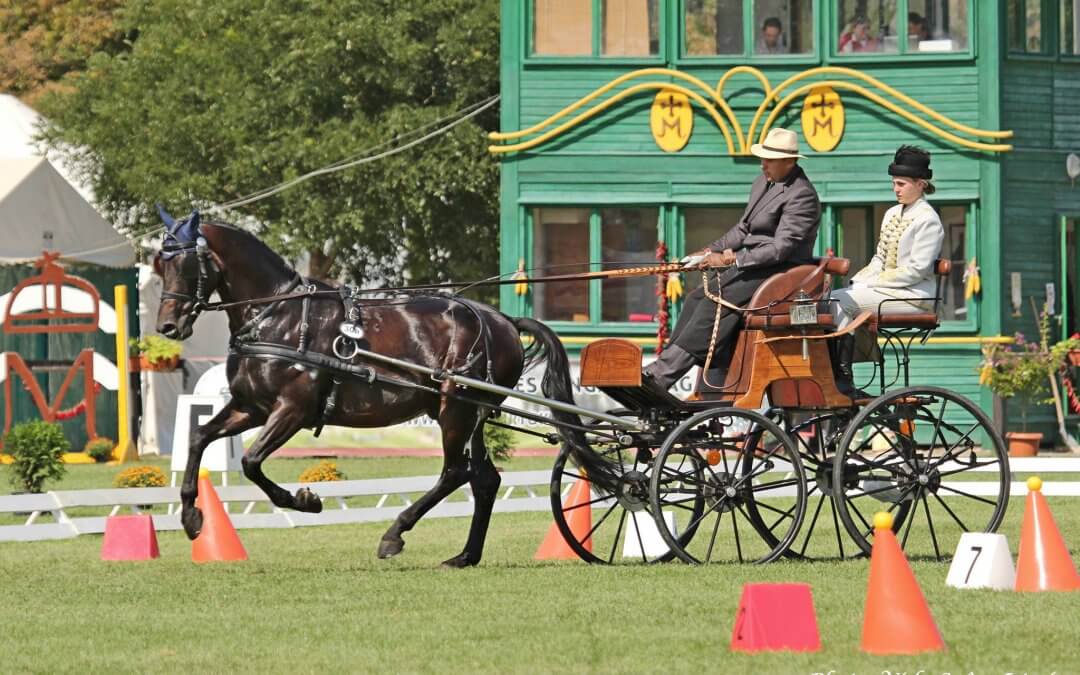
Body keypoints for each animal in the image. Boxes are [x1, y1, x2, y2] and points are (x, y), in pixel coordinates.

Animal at [152, 210, 619, 567]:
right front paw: (192, 517)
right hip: (468, 413)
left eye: (186, 264)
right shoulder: (251, 407)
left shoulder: (292, 410)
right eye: (159, 265)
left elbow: (251, 462)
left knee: (455, 472)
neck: (278, 316)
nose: (168, 327)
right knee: (484, 479)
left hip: (456, 411)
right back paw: (464, 556)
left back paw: (396, 533)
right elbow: (199, 437)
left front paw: (306, 501)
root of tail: (502, 319)